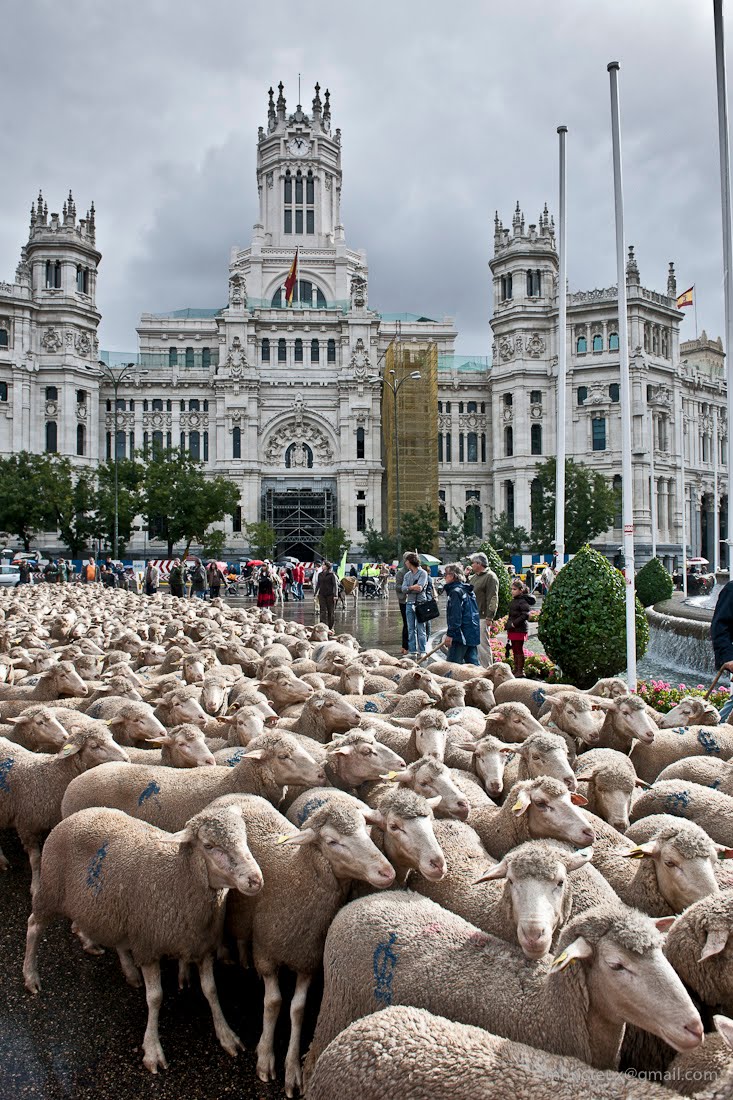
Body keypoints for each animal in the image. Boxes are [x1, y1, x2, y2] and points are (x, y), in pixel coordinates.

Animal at [0, 726, 128, 888]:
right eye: (94, 746)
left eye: (111, 737)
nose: (127, 759)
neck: (53, 775)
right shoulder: (26, 824)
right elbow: (35, 860)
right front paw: (36, 886)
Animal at [22, 800, 263, 1073]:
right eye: (209, 845)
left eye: (244, 838)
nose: (255, 880)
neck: (180, 874)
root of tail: (77, 815)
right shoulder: (148, 944)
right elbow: (155, 998)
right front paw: (152, 1049)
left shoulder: (202, 944)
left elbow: (211, 990)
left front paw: (226, 1035)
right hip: (50, 890)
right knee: (33, 926)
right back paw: (30, 976)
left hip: (104, 906)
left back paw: (105, 954)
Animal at [222, 792, 394, 1091]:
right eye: (332, 841)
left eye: (366, 830)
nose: (387, 872)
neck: (297, 875)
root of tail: (237, 795)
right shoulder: (267, 952)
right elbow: (273, 1003)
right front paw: (265, 1057)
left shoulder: (307, 960)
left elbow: (298, 1009)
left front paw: (292, 1070)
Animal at [301, 893, 704, 1082]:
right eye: (616, 965)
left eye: (660, 950)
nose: (695, 1027)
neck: (548, 1003)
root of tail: (361, 902)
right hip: (336, 1009)